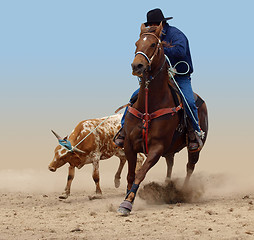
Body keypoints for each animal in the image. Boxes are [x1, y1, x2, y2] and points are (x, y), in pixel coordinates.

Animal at [117, 22, 208, 216]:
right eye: (136, 43)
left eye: (153, 44)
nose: (137, 66)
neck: (149, 105)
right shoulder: (129, 144)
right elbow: (130, 175)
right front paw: (127, 197)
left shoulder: (157, 147)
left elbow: (140, 173)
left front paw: (127, 203)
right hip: (170, 150)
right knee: (170, 163)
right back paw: (167, 186)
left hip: (194, 150)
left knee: (190, 166)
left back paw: (182, 192)